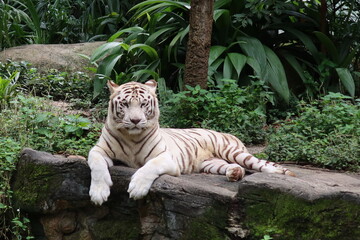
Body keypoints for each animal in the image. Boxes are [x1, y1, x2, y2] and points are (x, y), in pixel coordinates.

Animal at [88, 80, 296, 204]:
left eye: (143, 104)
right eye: (125, 104)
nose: (135, 121)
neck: (131, 137)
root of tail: (231, 135)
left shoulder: (167, 158)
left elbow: (149, 167)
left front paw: (137, 188)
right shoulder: (98, 150)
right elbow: (97, 165)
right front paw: (98, 193)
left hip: (233, 151)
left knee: (260, 163)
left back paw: (281, 174)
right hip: (211, 164)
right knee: (236, 167)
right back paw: (234, 173)